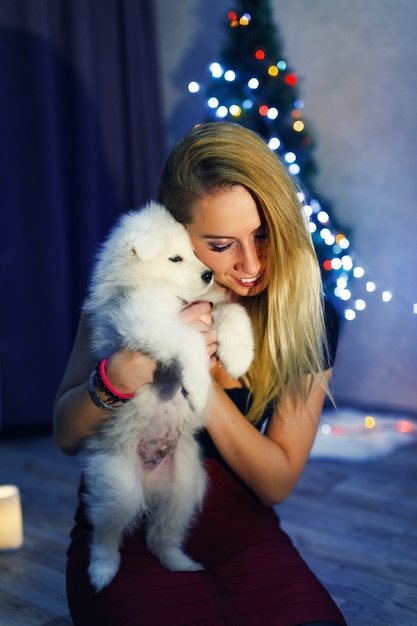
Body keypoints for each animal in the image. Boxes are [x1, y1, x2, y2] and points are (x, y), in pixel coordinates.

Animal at [82, 201, 254, 588]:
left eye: (198, 251)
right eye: (176, 258)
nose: (208, 275)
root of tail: (150, 486)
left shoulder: (207, 307)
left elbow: (232, 310)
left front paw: (238, 356)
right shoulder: (143, 321)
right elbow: (187, 339)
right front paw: (196, 386)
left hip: (185, 487)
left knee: (162, 535)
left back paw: (181, 564)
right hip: (118, 484)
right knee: (106, 531)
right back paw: (102, 569)